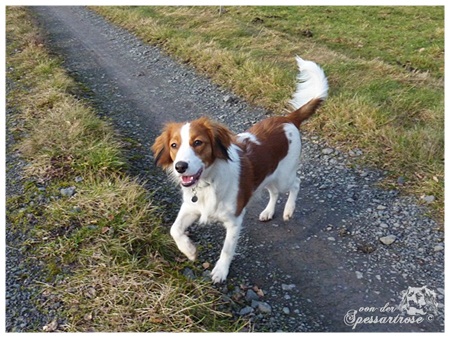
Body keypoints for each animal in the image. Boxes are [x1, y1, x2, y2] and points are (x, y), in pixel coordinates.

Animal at [151, 56, 326, 282]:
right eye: (174, 145)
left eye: (198, 143)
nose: (180, 167)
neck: (209, 181)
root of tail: (288, 119)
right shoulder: (190, 207)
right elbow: (174, 229)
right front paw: (189, 250)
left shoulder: (234, 220)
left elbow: (227, 249)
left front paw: (220, 271)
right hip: (267, 175)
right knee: (274, 192)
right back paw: (268, 212)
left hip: (284, 176)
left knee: (295, 183)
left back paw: (288, 210)